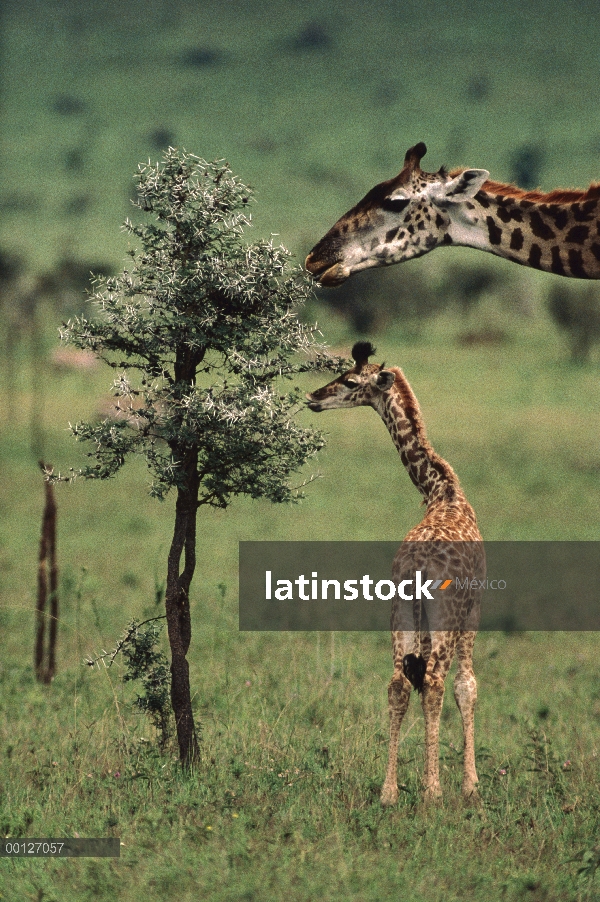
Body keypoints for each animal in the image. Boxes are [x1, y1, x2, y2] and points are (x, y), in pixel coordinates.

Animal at [308, 344, 486, 804]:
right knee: (437, 682)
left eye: (350, 381)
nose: (312, 397)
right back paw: (432, 791)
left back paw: (389, 792)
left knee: (399, 683)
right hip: (443, 618)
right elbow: (467, 686)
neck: (443, 492)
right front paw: (470, 786)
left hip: (399, 613)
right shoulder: (475, 609)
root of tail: (419, 567)